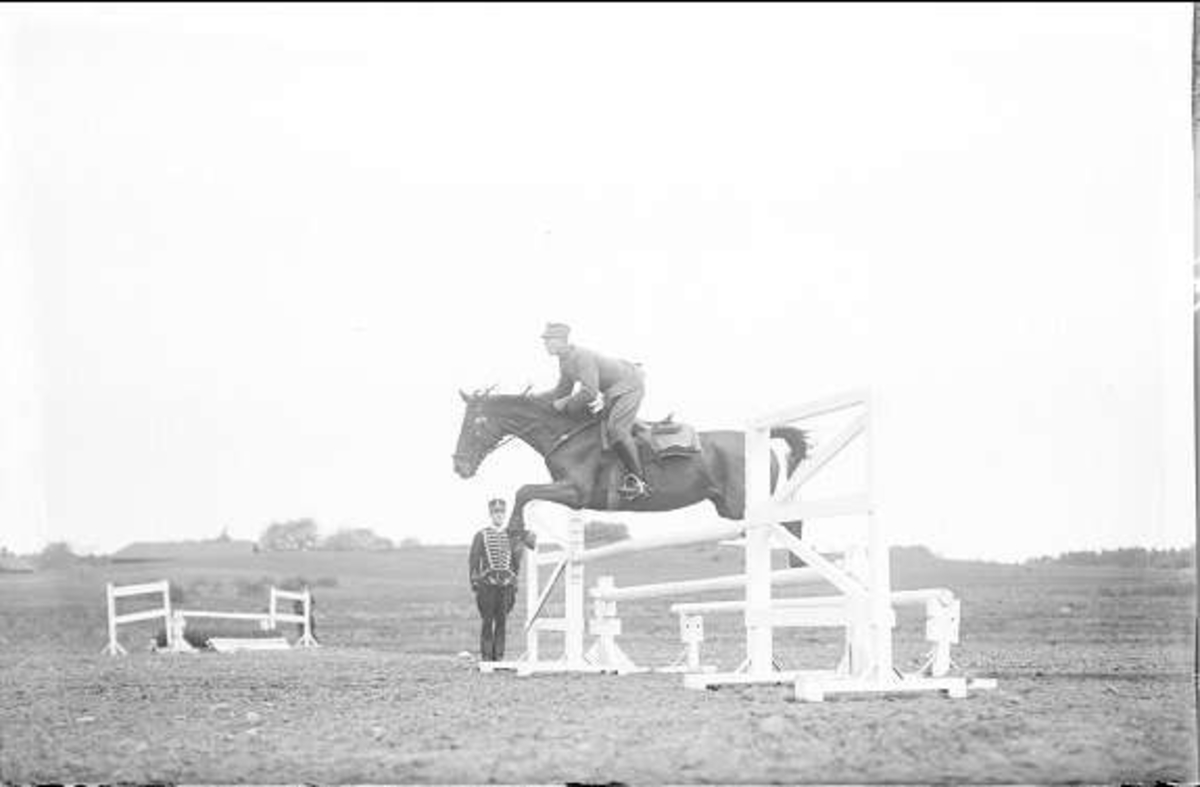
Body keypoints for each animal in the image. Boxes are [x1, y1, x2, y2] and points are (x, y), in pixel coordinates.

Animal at [452, 390, 810, 554]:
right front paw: (522, 534)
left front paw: (518, 533)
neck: (566, 435)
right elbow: (525, 491)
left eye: (473, 425)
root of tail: (760, 437)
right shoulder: (570, 493)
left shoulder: (576, 492)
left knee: (789, 521)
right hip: (732, 507)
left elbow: (524, 490)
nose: (459, 466)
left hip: (744, 506)